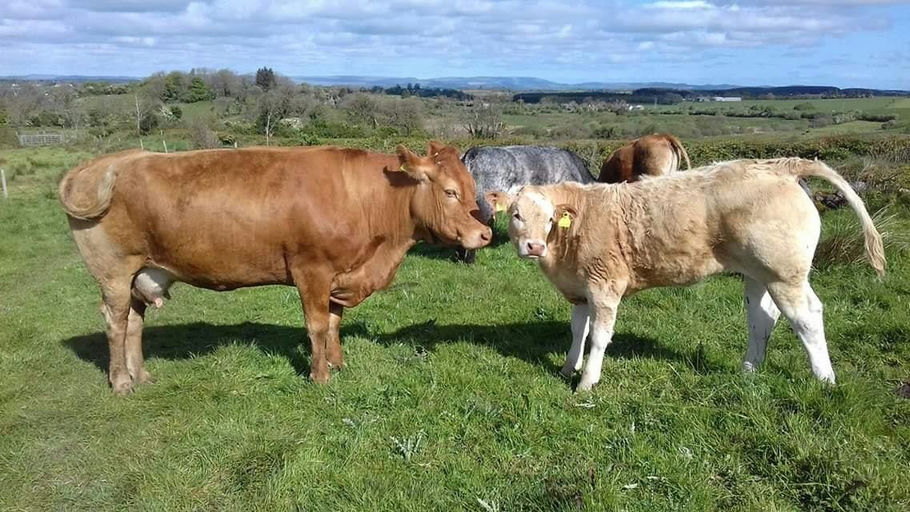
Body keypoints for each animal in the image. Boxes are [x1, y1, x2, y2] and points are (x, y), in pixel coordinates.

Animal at [58, 141, 492, 394]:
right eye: (450, 192)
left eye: (473, 187)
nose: (484, 233)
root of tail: (107, 161)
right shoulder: (311, 271)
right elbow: (317, 326)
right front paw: (319, 376)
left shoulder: (340, 273)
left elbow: (334, 323)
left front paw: (337, 363)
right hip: (114, 273)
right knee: (115, 323)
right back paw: (120, 382)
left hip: (141, 273)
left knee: (134, 323)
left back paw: (142, 375)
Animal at [486, 158, 884, 391]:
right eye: (517, 215)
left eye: (549, 218)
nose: (534, 246)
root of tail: (777, 166)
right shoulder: (579, 288)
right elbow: (577, 331)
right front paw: (569, 368)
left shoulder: (605, 285)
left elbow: (598, 336)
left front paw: (586, 382)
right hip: (758, 273)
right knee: (762, 318)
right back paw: (748, 370)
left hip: (785, 273)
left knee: (807, 318)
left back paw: (825, 380)